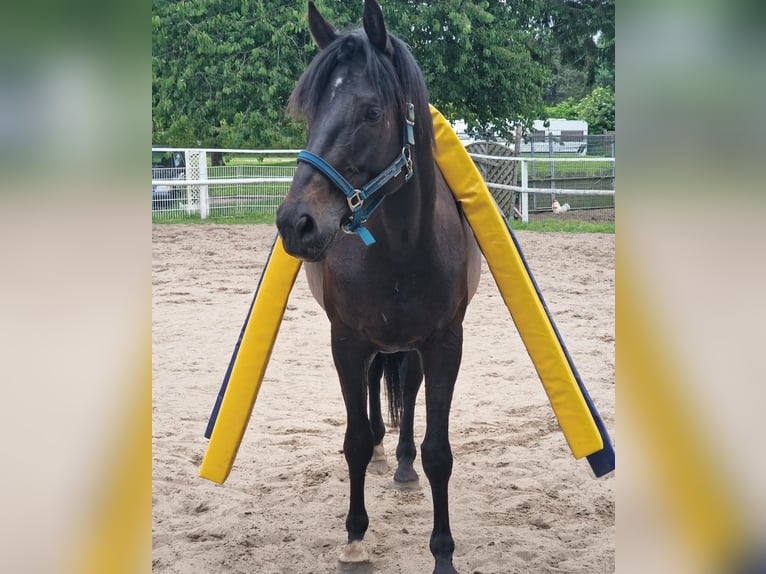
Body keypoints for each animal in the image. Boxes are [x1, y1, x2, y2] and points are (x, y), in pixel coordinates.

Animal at [276, 2, 480, 572]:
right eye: (310, 113)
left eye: (370, 112)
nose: (296, 223)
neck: (399, 249)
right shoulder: (345, 342)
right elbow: (355, 441)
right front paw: (355, 536)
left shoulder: (444, 343)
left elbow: (438, 450)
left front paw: (443, 553)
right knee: (373, 395)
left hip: (409, 347)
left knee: (405, 393)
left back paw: (404, 463)